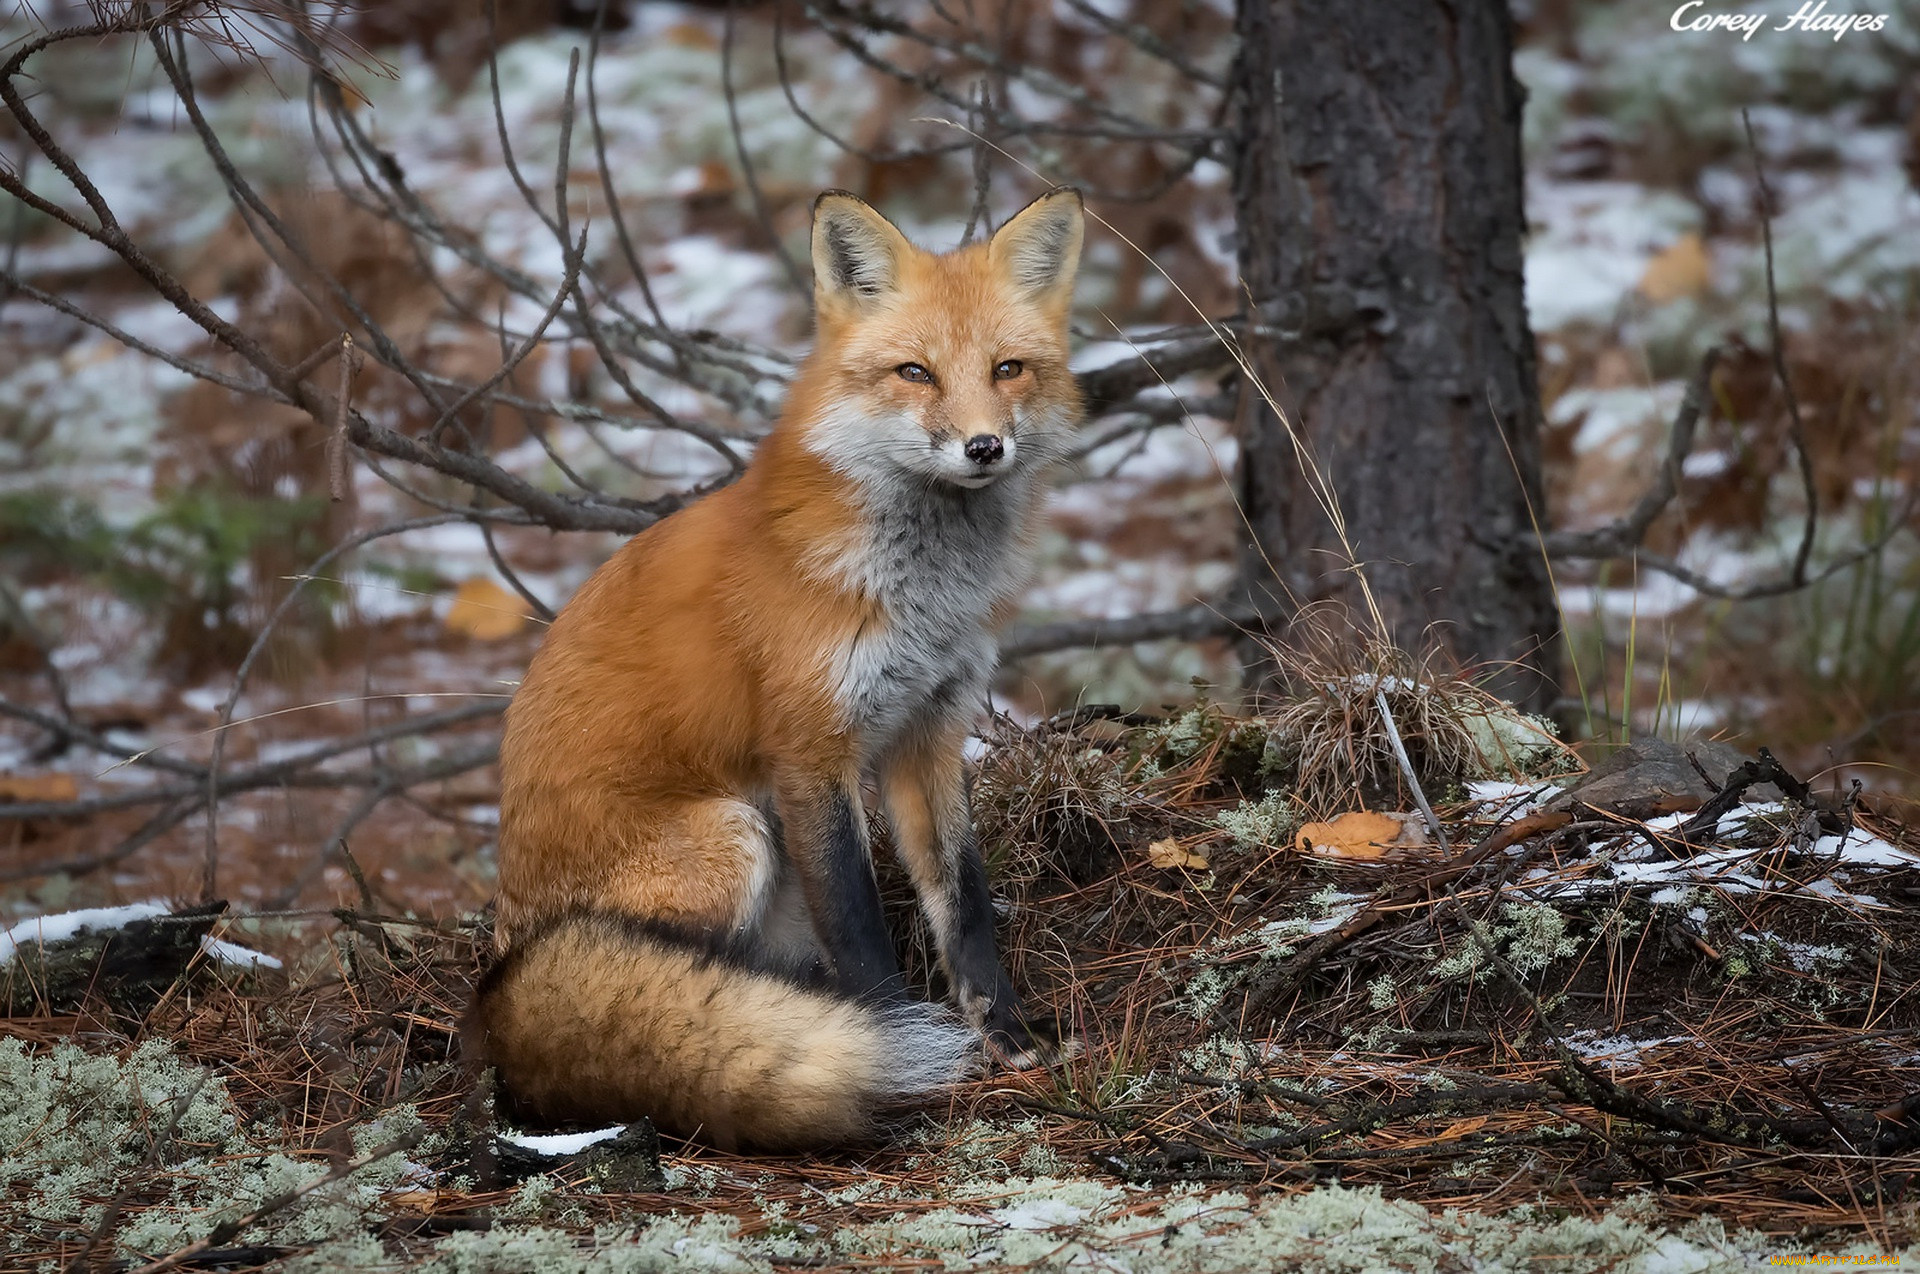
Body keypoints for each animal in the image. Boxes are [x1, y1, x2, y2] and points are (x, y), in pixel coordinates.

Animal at [466, 188, 1090, 1151]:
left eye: (1009, 368)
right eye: (915, 373)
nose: (985, 446)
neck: (918, 592)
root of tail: (502, 977)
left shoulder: (928, 731)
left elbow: (964, 899)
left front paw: (1005, 1031)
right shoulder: (810, 750)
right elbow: (861, 928)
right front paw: (889, 1045)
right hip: (734, 835)